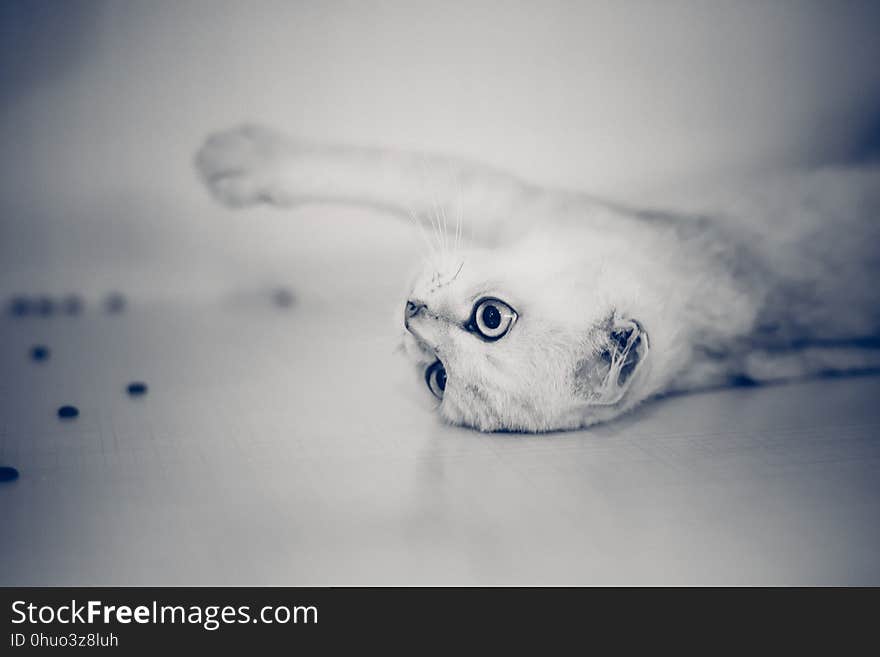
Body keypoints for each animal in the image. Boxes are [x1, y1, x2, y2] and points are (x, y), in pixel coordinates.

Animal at [194, 123, 880, 434]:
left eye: (437, 376)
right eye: (493, 317)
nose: (412, 315)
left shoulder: (506, 197)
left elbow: (397, 172)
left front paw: (230, 161)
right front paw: (233, 156)